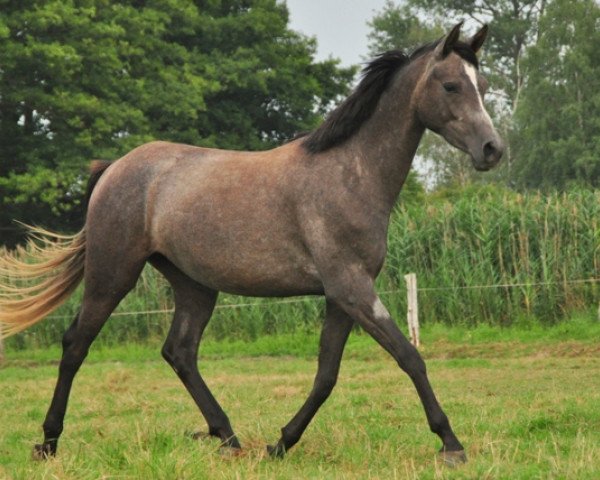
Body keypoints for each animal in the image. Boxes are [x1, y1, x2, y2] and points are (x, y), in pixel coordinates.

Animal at [0, 23, 504, 464]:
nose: (493, 150)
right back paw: (48, 443)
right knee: (76, 344)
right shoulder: (353, 289)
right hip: (112, 274)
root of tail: (114, 168)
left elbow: (326, 375)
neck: (350, 173)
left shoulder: (343, 296)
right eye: (451, 85)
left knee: (179, 352)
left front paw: (280, 444)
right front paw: (451, 443)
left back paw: (229, 439)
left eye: (482, 84)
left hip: (194, 285)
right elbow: (409, 357)